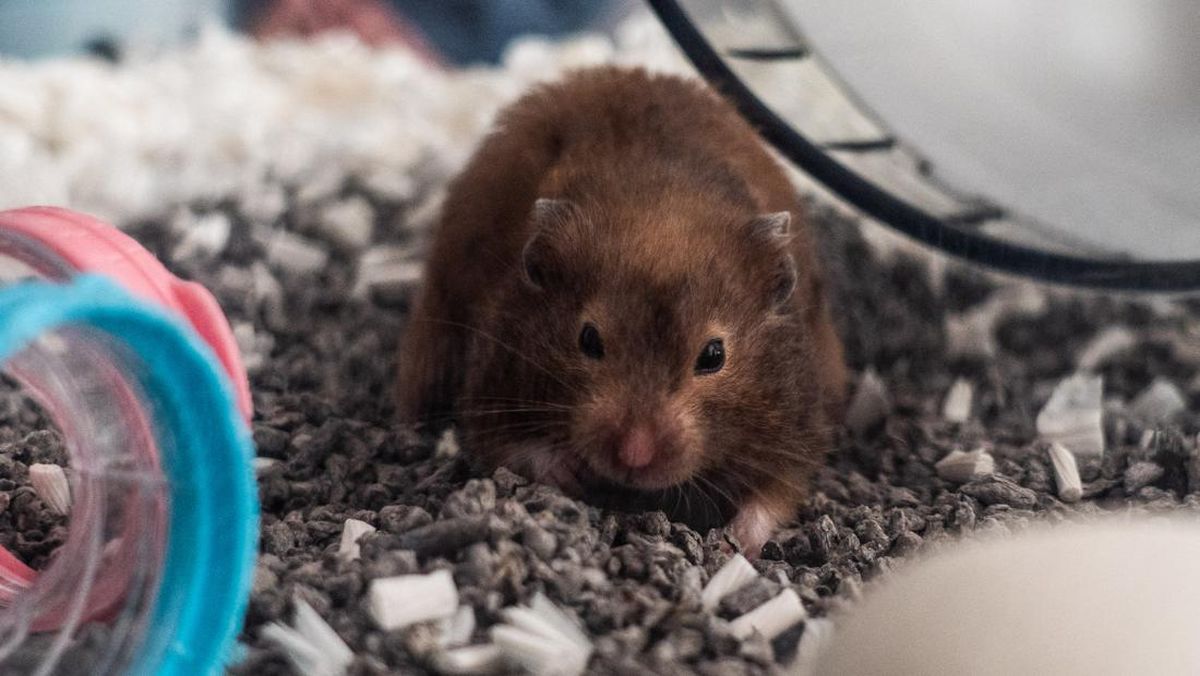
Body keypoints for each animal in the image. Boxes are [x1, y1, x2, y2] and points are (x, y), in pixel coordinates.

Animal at [397, 66, 846, 555]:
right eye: (589, 339)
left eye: (713, 356)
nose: (635, 456)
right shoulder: (491, 384)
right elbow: (508, 445)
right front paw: (570, 473)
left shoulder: (797, 425)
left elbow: (776, 494)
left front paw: (736, 545)